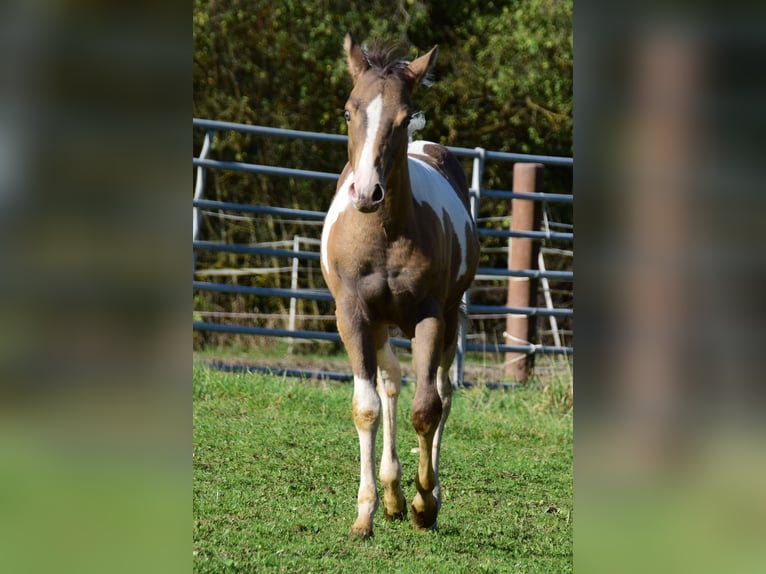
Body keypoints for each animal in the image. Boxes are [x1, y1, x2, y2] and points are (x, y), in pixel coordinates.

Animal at [320, 35, 480, 540]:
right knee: (390, 383)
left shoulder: (429, 315)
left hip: (447, 317)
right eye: (348, 112)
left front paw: (424, 503)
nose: (367, 192)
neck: (385, 234)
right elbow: (367, 406)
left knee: (442, 393)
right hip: (380, 324)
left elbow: (426, 408)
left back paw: (421, 494)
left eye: (403, 117)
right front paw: (366, 514)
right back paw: (390, 493)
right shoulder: (352, 315)